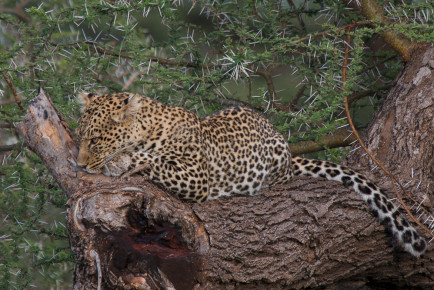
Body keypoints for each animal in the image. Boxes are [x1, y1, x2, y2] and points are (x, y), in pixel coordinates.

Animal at [75, 92, 428, 258]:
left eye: (94, 140)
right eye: (80, 137)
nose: (79, 166)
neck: (149, 129)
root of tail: (288, 156)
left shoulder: (195, 177)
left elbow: (155, 160)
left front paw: (121, 162)